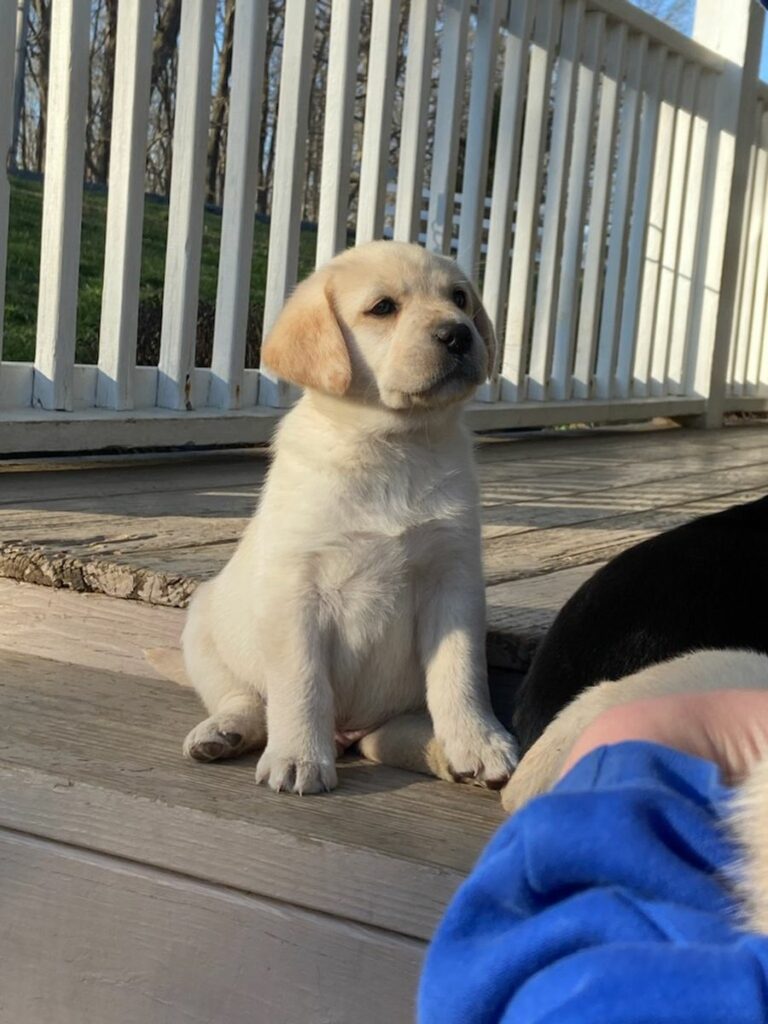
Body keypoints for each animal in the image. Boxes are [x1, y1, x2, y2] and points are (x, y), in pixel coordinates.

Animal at [180, 243, 518, 794]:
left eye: (460, 299)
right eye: (383, 308)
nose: (458, 333)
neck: (391, 445)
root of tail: (351, 733)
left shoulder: (454, 582)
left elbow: (462, 672)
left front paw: (480, 741)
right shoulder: (296, 590)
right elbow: (302, 682)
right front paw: (298, 756)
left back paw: (447, 755)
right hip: (202, 629)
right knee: (246, 698)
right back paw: (224, 731)